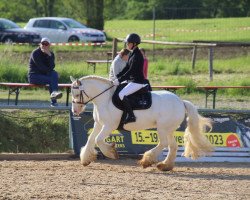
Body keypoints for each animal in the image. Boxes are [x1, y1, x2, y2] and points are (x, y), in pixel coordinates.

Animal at [70, 76, 213, 171]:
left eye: (76, 94)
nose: (75, 111)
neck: (105, 99)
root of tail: (181, 102)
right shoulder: (98, 124)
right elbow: (91, 139)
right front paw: (86, 159)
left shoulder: (109, 126)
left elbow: (98, 140)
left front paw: (111, 152)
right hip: (168, 129)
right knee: (172, 146)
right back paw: (164, 165)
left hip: (162, 128)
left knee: (163, 143)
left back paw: (147, 161)